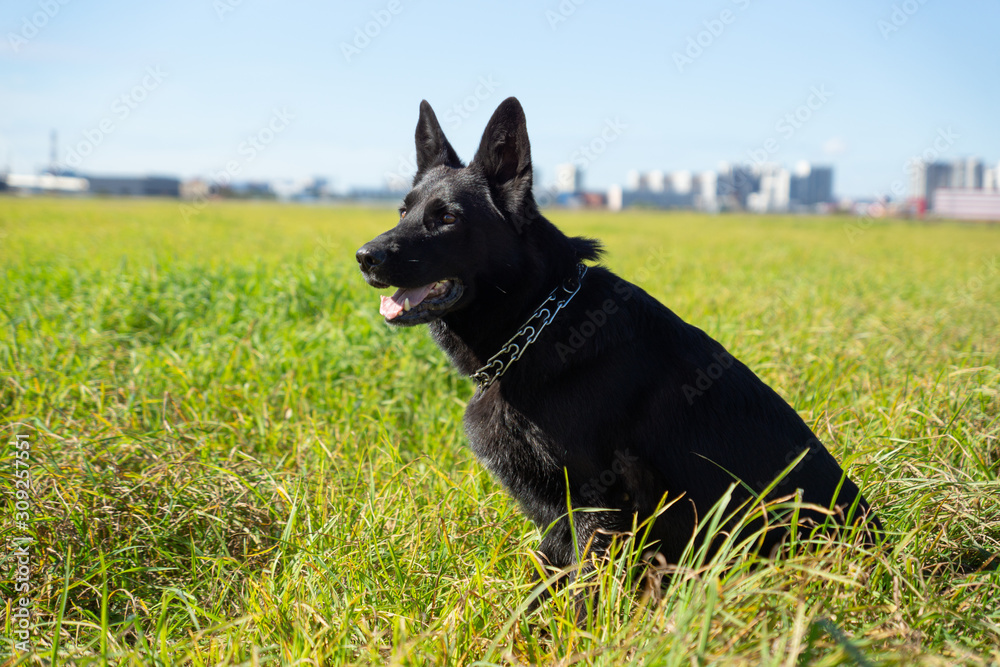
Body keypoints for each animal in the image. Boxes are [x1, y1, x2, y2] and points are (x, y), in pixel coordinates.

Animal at [358, 98, 884, 584]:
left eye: (447, 218)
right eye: (403, 211)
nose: (365, 256)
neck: (541, 319)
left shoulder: (600, 503)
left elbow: (583, 593)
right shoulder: (556, 515)